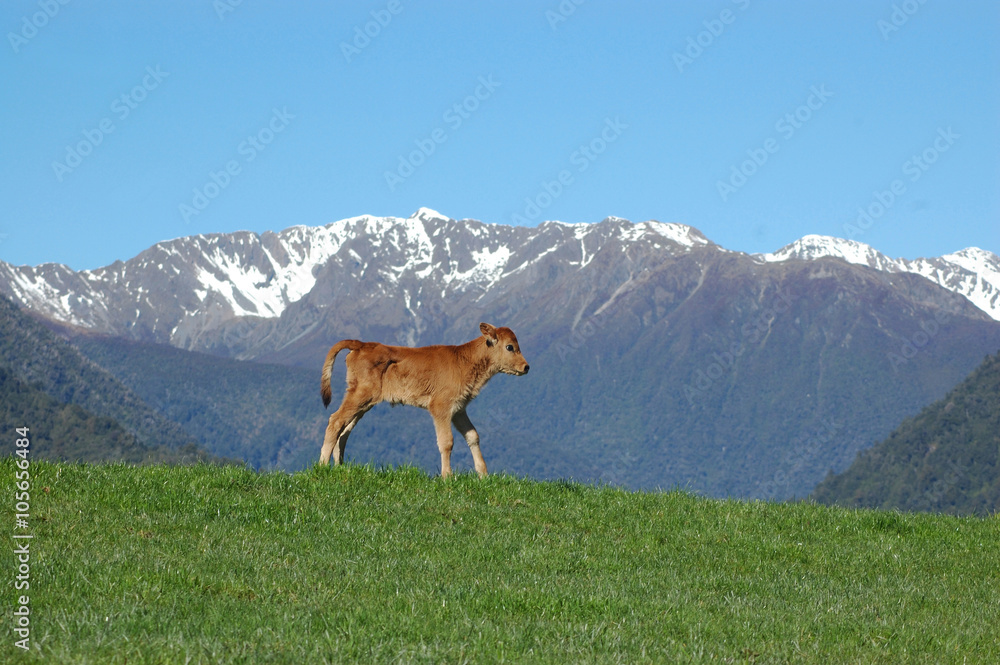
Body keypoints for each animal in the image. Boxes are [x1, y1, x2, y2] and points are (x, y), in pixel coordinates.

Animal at [318, 322, 532, 474]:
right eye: (510, 347)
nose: (526, 367)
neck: (465, 361)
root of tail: (362, 344)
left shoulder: (459, 409)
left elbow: (473, 436)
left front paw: (483, 475)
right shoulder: (440, 407)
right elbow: (446, 442)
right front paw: (447, 477)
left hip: (363, 402)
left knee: (345, 430)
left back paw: (340, 466)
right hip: (360, 395)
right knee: (335, 421)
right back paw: (322, 466)